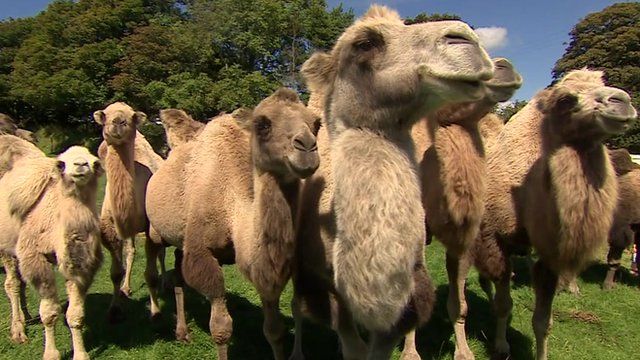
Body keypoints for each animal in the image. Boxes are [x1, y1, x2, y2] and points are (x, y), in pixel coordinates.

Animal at [94, 102, 166, 322]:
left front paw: (156, 312)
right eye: (104, 115)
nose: (118, 122)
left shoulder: (151, 227)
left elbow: (151, 275)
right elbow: (115, 272)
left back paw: (165, 283)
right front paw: (114, 308)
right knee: (131, 250)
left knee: (161, 253)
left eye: (132, 116)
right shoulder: (109, 229)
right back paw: (126, 288)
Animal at [148, 88, 322, 360]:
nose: (307, 147)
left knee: (177, 273)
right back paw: (157, 317)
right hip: (155, 230)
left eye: (316, 124)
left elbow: (274, 329)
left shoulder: (263, 268)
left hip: (181, 240)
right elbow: (221, 328)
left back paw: (182, 333)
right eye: (262, 124)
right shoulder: (202, 253)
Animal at [472, 68, 636, 360]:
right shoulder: (496, 239)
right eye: (566, 100)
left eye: (602, 82)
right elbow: (504, 304)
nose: (622, 101)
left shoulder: (549, 255)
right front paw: (501, 345)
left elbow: (542, 321)